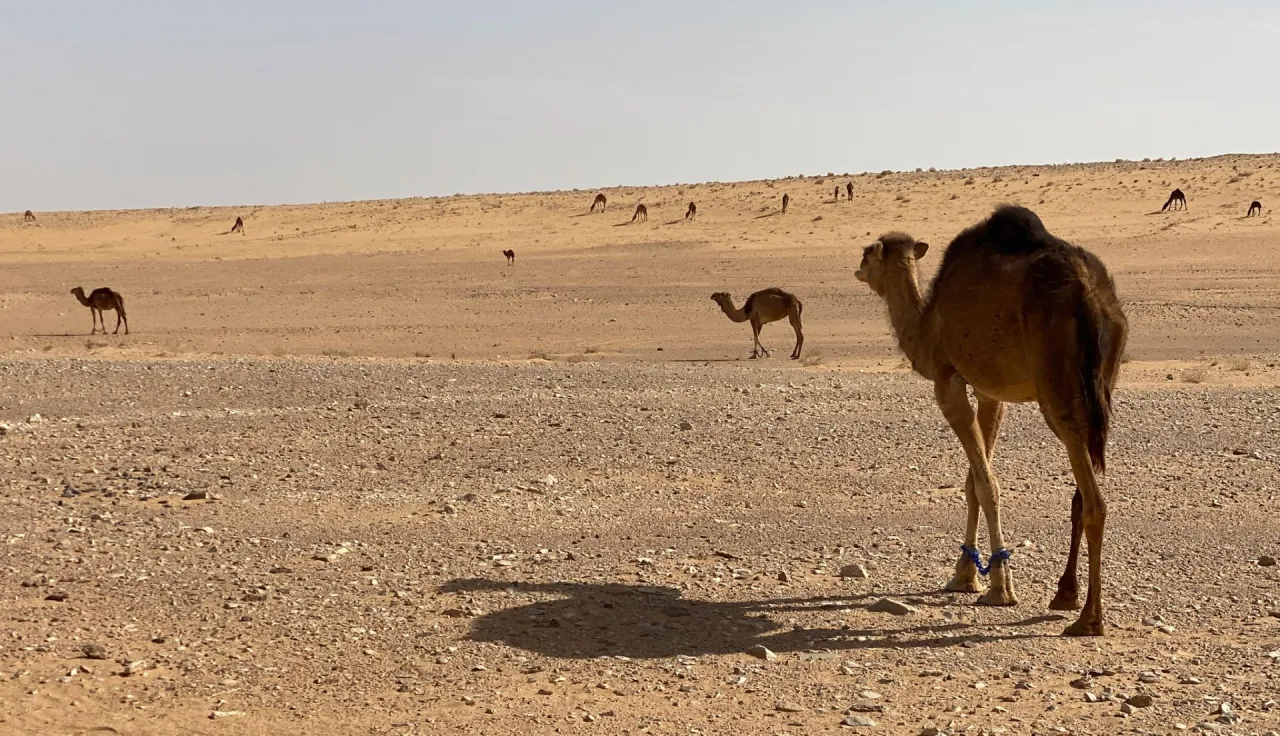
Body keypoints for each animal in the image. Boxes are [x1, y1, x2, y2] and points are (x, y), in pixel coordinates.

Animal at [854, 205, 1128, 637]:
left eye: (869, 253)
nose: (858, 267)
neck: (926, 327)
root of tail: (1089, 294)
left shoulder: (948, 382)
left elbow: (985, 483)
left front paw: (998, 585)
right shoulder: (990, 392)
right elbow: (971, 482)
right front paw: (965, 574)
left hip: (1056, 386)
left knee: (1095, 500)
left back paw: (1088, 618)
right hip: (1105, 377)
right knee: (1082, 493)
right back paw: (1065, 593)